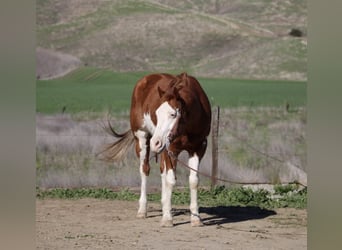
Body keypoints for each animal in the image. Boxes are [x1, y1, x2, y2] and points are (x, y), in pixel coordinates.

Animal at [100, 72, 210, 227]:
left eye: (173, 114)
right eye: (156, 114)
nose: (155, 143)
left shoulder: (198, 148)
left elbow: (193, 181)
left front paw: (196, 218)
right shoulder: (171, 149)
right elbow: (171, 180)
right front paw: (167, 219)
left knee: (162, 171)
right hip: (142, 140)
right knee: (145, 170)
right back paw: (142, 210)